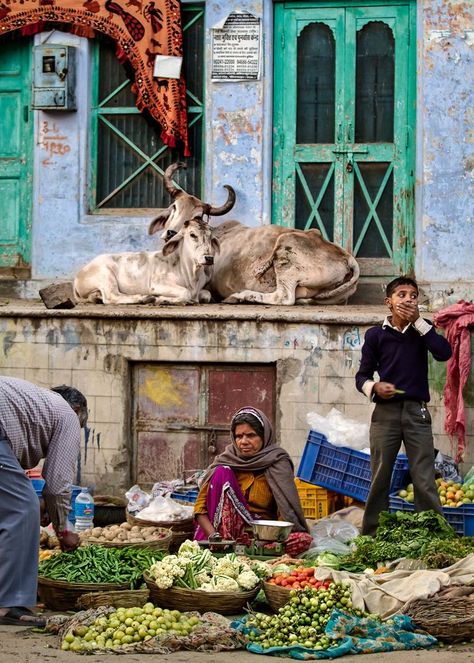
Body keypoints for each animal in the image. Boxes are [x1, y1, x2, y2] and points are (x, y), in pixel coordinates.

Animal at [73, 222, 220, 308]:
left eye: (210, 237)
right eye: (192, 235)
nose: (209, 258)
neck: (191, 274)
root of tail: (78, 275)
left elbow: (206, 295)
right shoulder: (157, 283)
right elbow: (185, 293)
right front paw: (162, 300)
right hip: (105, 275)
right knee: (111, 297)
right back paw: (146, 298)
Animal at [148, 163, 360, 306]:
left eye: (198, 216)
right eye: (174, 207)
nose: (171, 232)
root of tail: (346, 257)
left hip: (286, 248)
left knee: (283, 297)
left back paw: (240, 297)